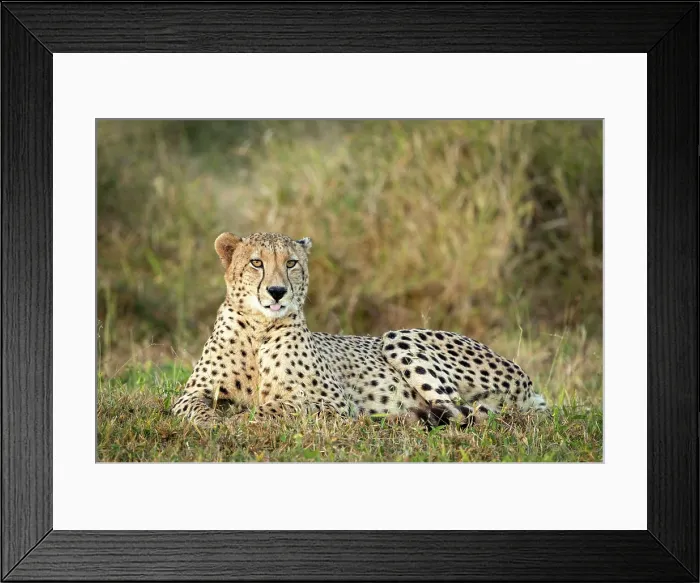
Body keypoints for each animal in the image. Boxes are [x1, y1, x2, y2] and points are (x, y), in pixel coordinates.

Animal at [171, 231, 548, 429]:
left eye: (291, 263)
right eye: (256, 263)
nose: (277, 292)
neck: (259, 329)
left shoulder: (331, 403)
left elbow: (277, 407)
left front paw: (238, 418)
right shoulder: (193, 391)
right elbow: (192, 407)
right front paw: (214, 420)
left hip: (399, 336)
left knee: (464, 414)